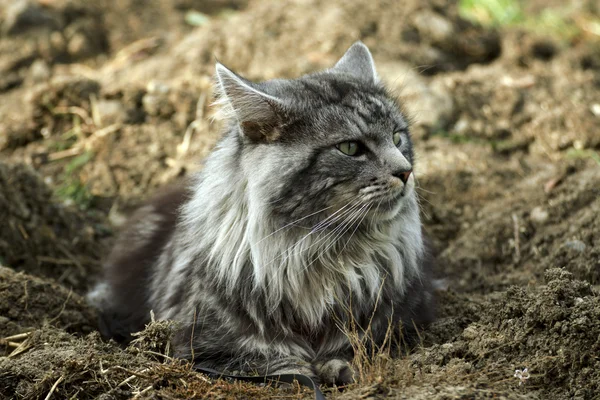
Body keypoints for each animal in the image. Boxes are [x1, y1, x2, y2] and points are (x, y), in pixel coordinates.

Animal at [88, 42, 436, 386]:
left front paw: (338, 366)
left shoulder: (398, 324)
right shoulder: (207, 349)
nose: (406, 172)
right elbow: (278, 365)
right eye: (350, 148)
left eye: (397, 138)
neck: (318, 251)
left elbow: (357, 349)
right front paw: (306, 369)